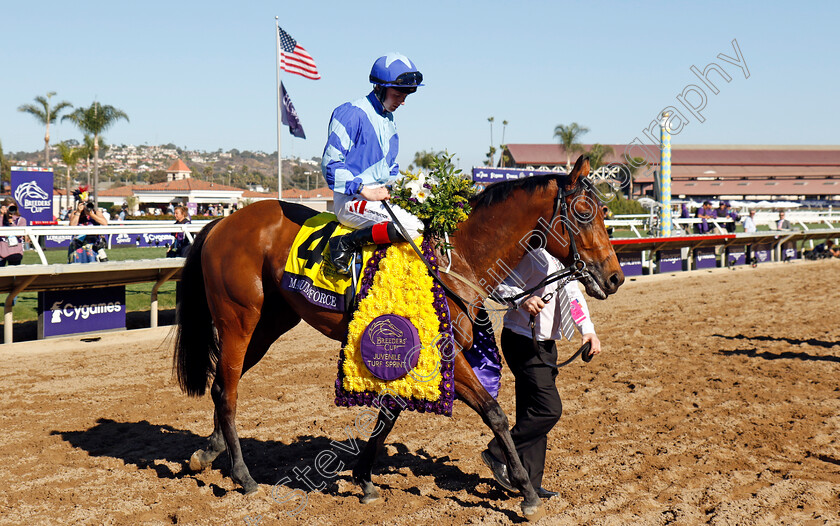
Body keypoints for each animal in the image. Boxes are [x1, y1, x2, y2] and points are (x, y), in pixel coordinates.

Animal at [174, 155, 624, 520]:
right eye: (585, 213)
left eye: (605, 211)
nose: (614, 277)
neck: (455, 258)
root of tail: (223, 222)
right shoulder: (447, 355)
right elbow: (494, 412)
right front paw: (526, 490)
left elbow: (388, 414)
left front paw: (365, 479)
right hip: (239, 319)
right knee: (229, 390)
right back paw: (244, 476)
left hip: (269, 324)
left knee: (223, 385)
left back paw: (206, 453)